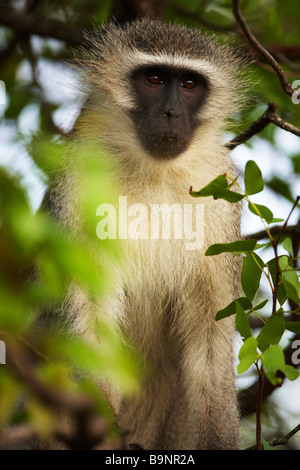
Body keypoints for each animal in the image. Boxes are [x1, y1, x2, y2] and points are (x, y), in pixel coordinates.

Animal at [48, 19, 246, 452]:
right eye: (154, 79)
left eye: (189, 84)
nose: (171, 113)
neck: (156, 172)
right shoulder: (79, 183)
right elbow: (90, 318)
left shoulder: (220, 192)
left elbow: (210, 340)